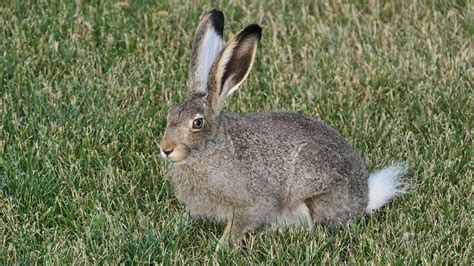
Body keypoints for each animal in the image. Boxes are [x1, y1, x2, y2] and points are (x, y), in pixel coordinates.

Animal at [160, 8, 408, 249]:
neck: (210, 148)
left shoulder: (251, 203)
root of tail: (364, 199)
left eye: (197, 123)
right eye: (170, 114)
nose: (166, 149)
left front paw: (221, 247)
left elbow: (240, 223)